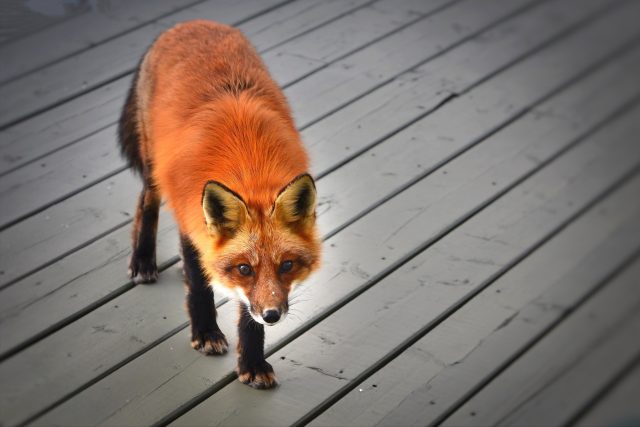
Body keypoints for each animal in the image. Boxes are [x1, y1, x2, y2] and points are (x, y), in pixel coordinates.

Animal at [117, 20, 320, 390]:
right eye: (244, 268)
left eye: (287, 265)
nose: (273, 315)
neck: (248, 168)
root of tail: (189, 23)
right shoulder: (191, 220)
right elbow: (200, 287)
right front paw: (206, 333)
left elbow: (247, 315)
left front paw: (252, 362)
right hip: (155, 168)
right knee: (145, 203)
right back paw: (142, 260)